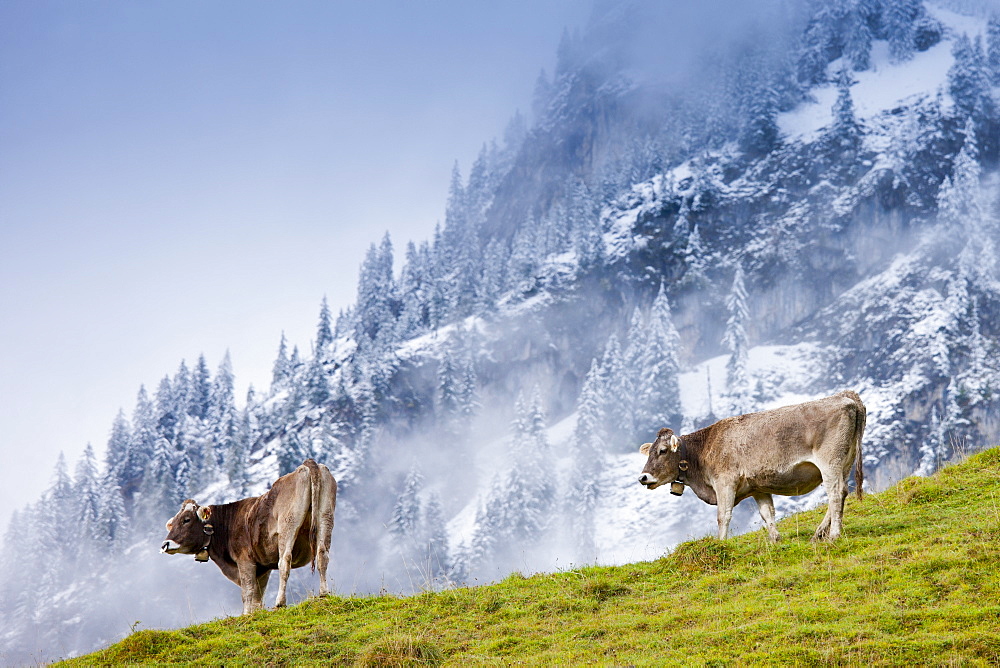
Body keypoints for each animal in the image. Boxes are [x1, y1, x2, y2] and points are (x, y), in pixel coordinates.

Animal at [160, 456, 336, 612]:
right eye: (172, 523)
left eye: (186, 519)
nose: (165, 544)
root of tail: (308, 464)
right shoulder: (263, 567)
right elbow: (258, 596)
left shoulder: (245, 560)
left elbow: (248, 593)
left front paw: (246, 614)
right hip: (325, 517)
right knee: (322, 555)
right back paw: (324, 593)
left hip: (289, 523)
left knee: (285, 560)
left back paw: (280, 602)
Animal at [640, 392, 868, 544]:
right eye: (649, 452)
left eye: (662, 451)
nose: (643, 477)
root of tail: (846, 397)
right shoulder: (758, 487)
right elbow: (767, 514)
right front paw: (775, 539)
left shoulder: (725, 482)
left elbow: (723, 515)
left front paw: (721, 543)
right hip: (844, 462)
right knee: (841, 492)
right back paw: (818, 533)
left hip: (829, 462)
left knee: (835, 494)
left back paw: (834, 535)